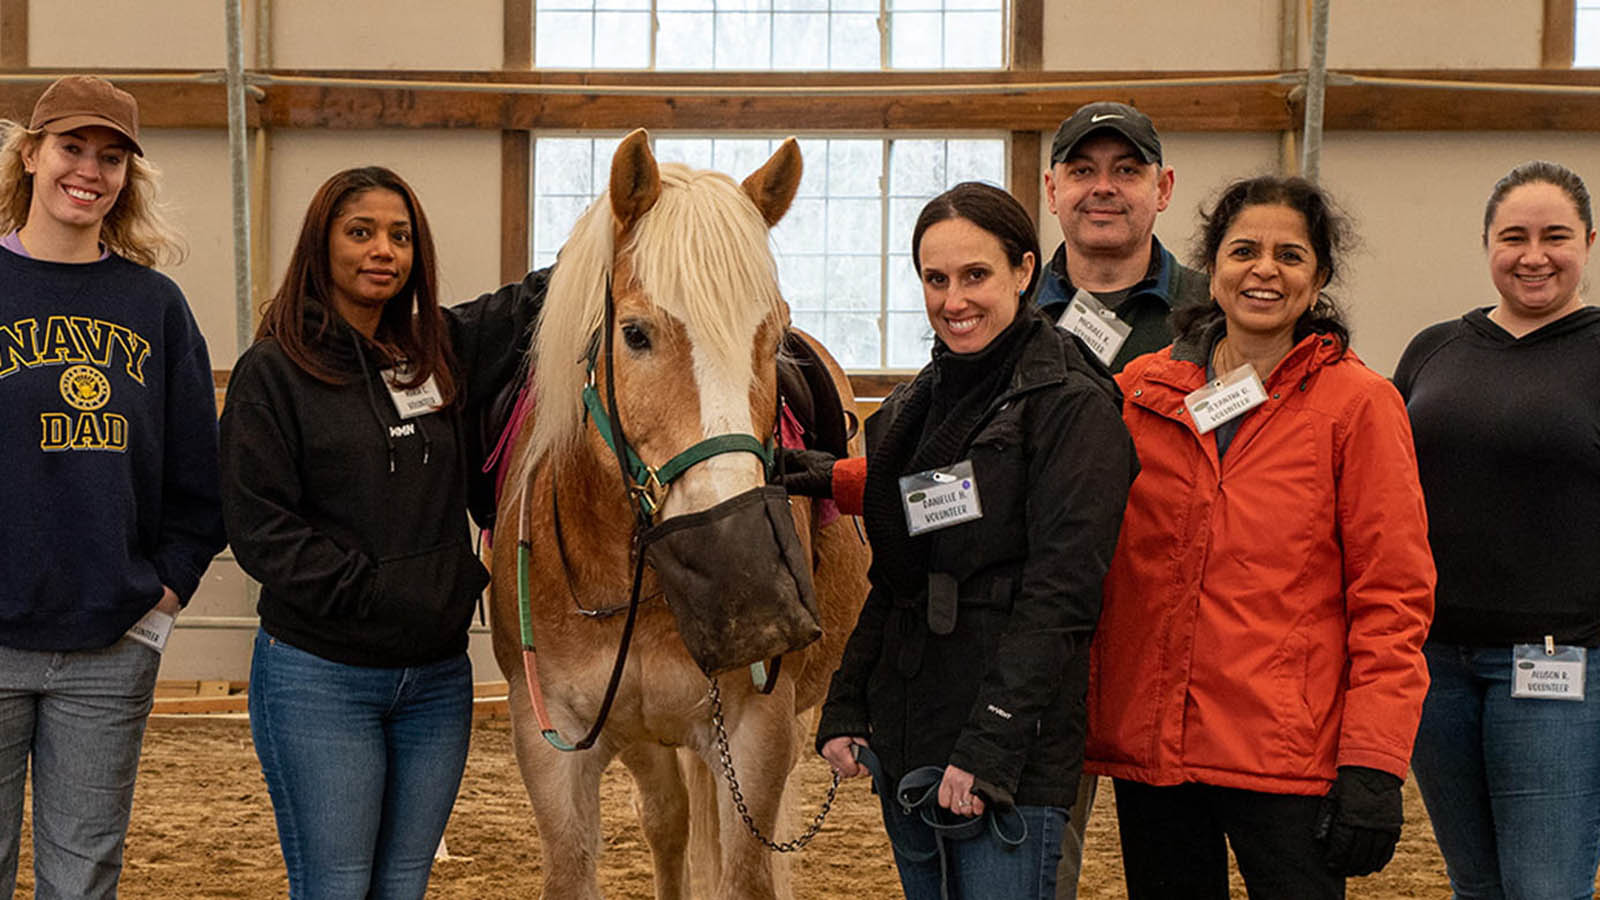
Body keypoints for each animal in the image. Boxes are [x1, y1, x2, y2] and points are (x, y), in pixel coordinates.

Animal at [492, 128, 876, 896]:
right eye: (636, 334)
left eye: (774, 337)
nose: (743, 571)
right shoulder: (553, 742)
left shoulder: (759, 731)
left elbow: (745, 873)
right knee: (668, 819)